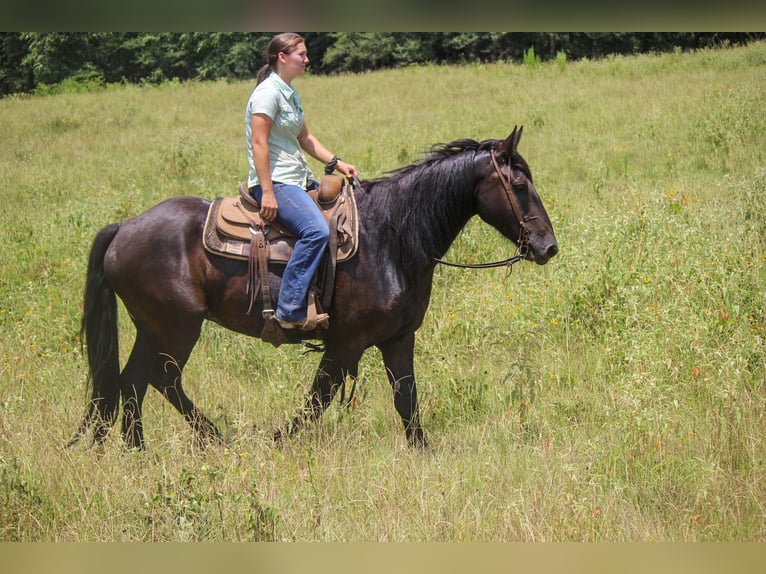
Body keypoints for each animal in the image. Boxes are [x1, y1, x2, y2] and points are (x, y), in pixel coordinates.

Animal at [69, 125, 560, 450]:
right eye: (519, 184)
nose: (548, 246)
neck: (392, 237)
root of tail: (125, 227)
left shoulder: (398, 339)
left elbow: (406, 399)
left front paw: (423, 452)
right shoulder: (346, 344)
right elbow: (317, 399)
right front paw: (277, 442)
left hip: (152, 328)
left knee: (132, 382)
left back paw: (138, 451)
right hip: (177, 328)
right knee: (159, 379)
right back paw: (211, 440)